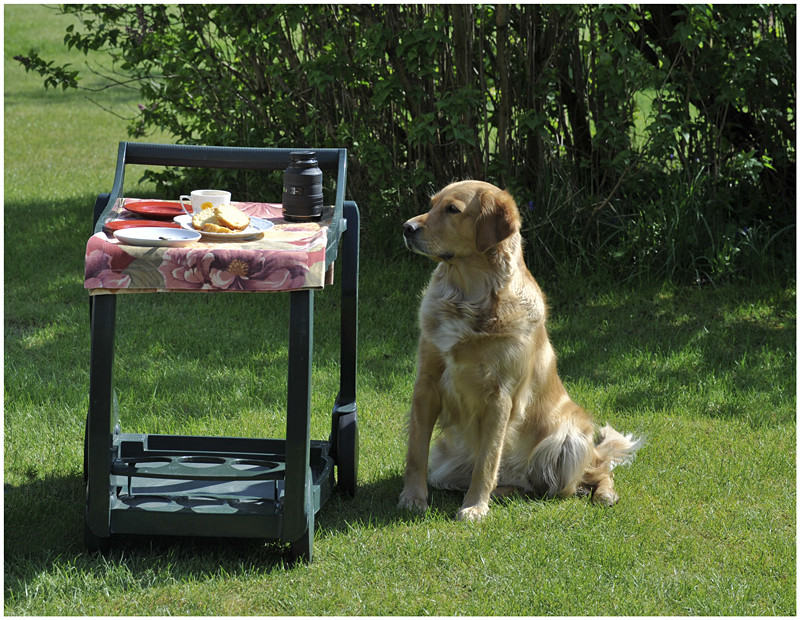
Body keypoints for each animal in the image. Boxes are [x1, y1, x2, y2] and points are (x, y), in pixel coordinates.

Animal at [400, 180, 644, 524]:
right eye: (432, 204)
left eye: (452, 210)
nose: (407, 228)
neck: (469, 297)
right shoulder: (427, 383)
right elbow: (416, 452)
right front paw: (412, 498)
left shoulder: (500, 396)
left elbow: (487, 461)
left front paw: (474, 507)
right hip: (447, 464)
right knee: (529, 486)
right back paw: (502, 492)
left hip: (567, 441)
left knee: (589, 473)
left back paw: (604, 493)